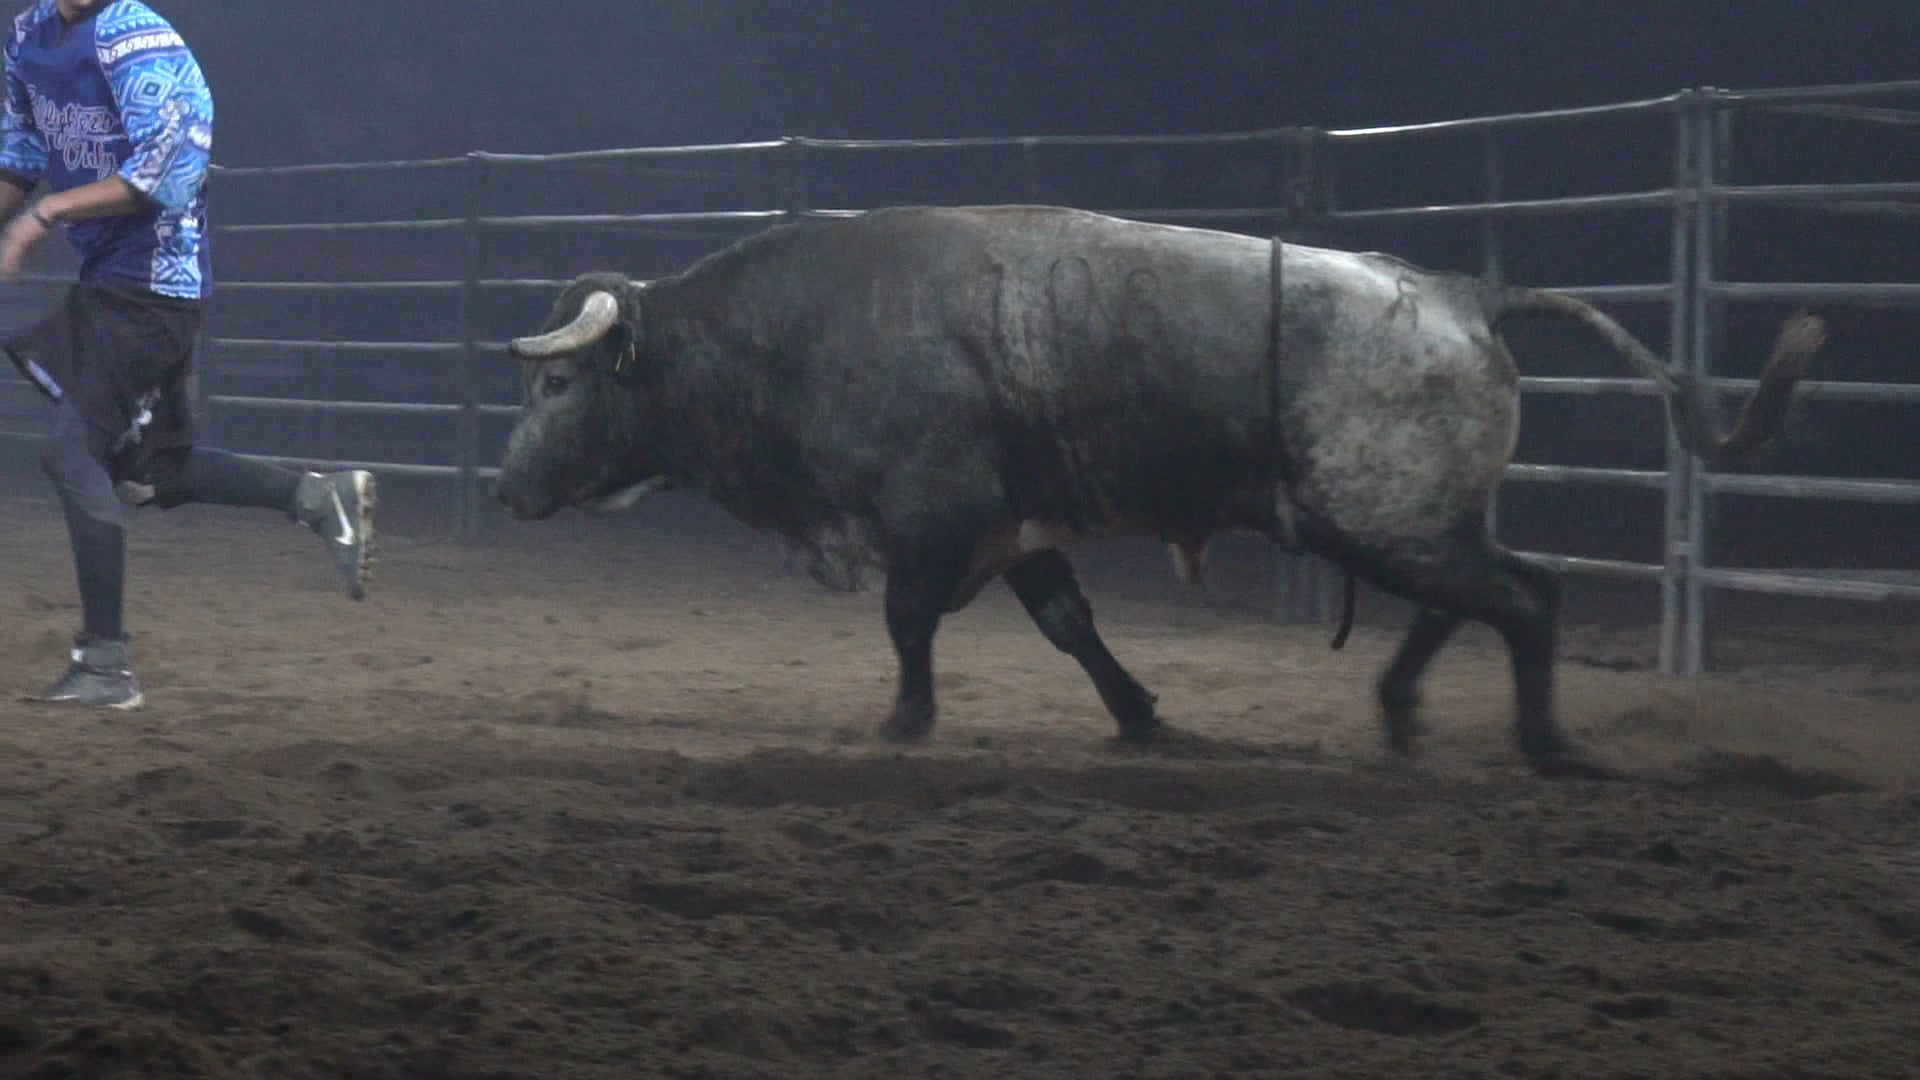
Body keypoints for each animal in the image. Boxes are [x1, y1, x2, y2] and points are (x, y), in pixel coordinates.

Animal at [494, 205, 1821, 776]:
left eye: (556, 388)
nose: (508, 488)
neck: (796, 332)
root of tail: (1462, 293)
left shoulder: (933, 512)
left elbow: (909, 621)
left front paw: (903, 721)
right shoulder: (1015, 524)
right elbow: (1070, 623)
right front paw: (1139, 716)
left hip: (1385, 515)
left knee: (1528, 597)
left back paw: (1544, 746)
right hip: (1404, 520)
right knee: (1468, 603)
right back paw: (1399, 712)